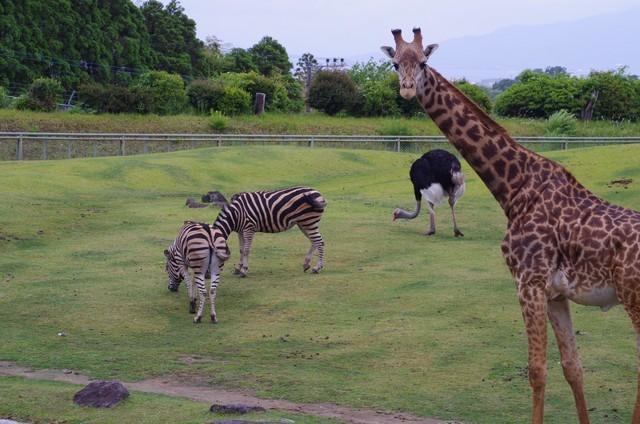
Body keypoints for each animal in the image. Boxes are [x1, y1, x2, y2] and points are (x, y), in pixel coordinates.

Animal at [382, 27, 640, 424]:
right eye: (396, 63)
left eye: (424, 62)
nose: (408, 90)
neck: (515, 187)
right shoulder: (554, 293)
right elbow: (572, 367)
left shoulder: (527, 282)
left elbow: (537, 371)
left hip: (633, 298)